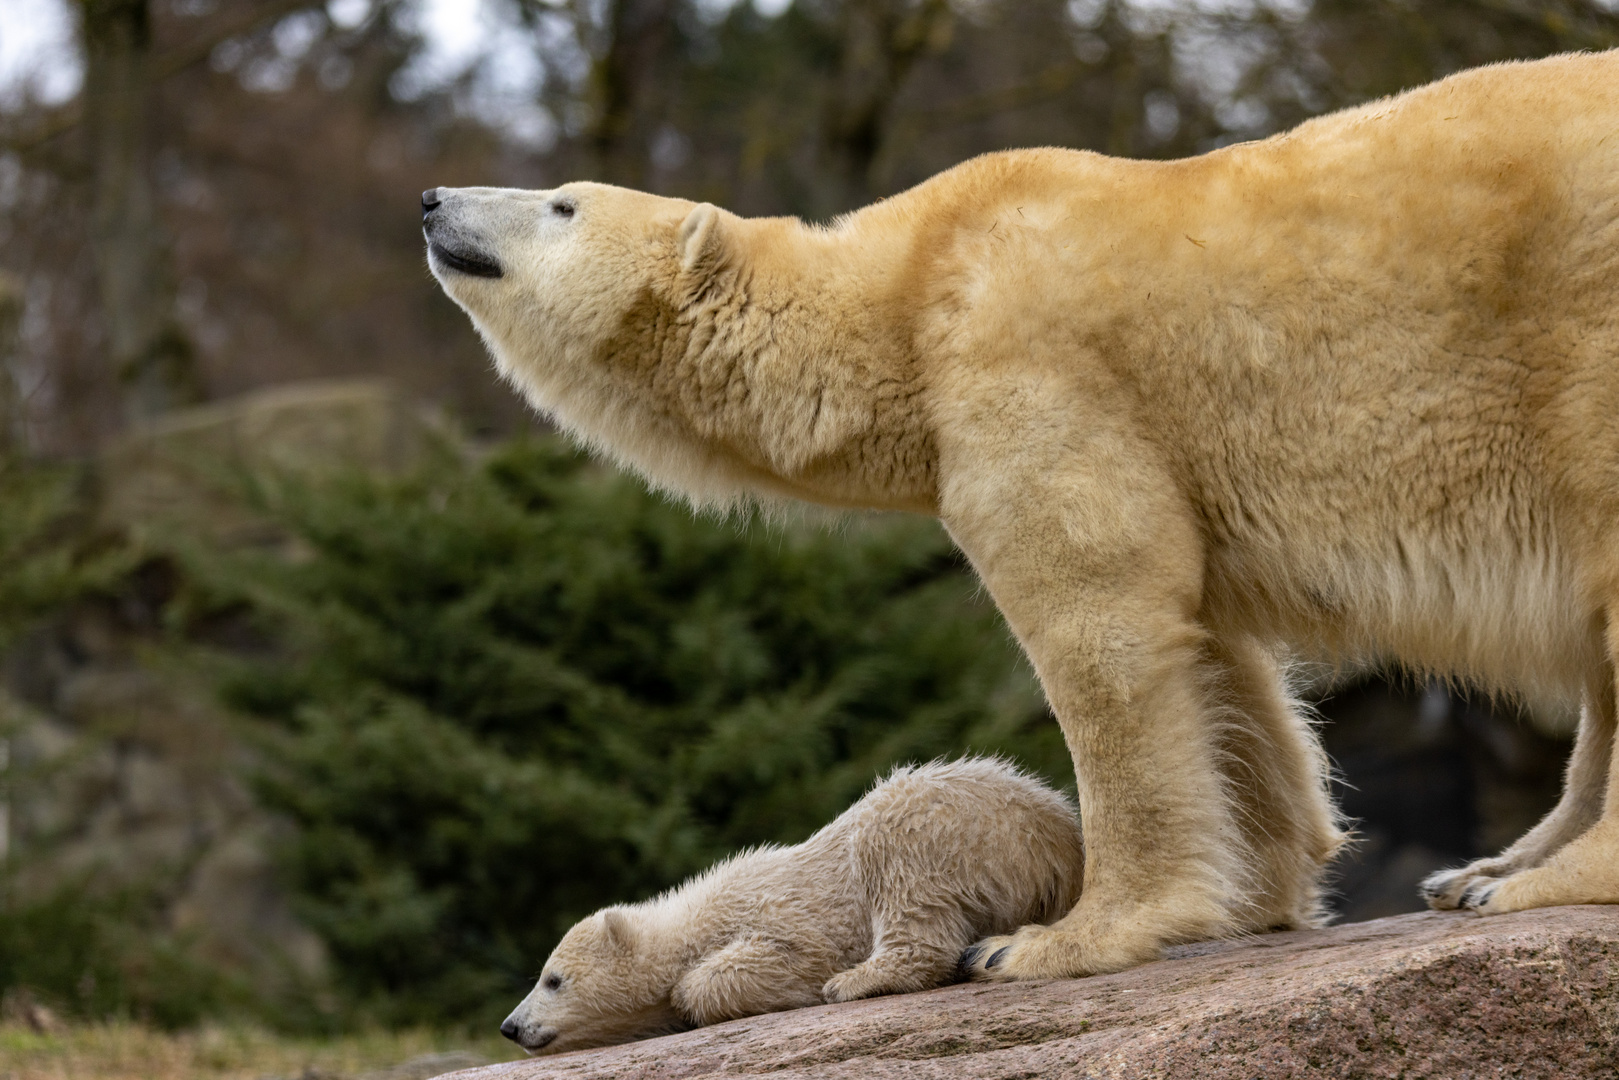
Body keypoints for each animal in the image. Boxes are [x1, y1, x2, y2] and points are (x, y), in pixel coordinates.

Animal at [427, 48, 1619, 977]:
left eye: (561, 201)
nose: (435, 200)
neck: (909, 287)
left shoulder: (1022, 359)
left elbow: (1102, 625)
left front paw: (1048, 940)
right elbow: (1213, 653)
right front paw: (1255, 892)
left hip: (1577, 327)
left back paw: (1538, 878)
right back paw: (1489, 865)